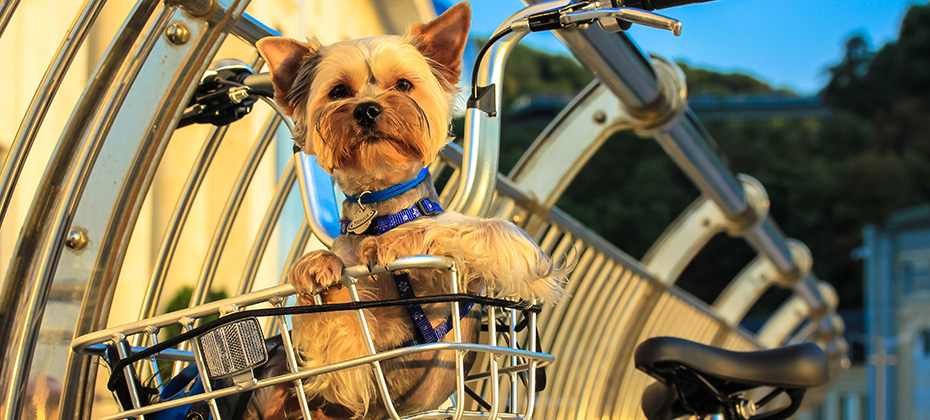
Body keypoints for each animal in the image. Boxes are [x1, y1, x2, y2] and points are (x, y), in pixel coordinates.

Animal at [246, 2, 564, 416]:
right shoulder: (353, 371)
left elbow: (476, 228)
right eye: (338, 91)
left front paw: (391, 244)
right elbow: (343, 340)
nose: (366, 109)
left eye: (403, 85)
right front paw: (317, 264)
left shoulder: (512, 254)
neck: (381, 209)